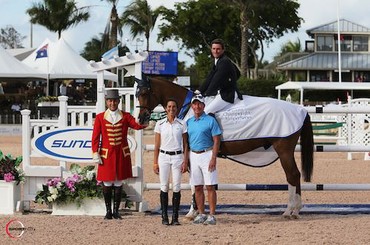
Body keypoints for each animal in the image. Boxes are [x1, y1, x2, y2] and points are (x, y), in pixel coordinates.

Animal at [134, 77, 314, 218]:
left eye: (144, 94)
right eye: (136, 95)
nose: (141, 118)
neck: (188, 107)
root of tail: (300, 109)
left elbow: (194, 183)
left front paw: (193, 212)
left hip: (284, 151)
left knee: (292, 175)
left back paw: (290, 211)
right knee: (294, 176)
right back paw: (294, 210)